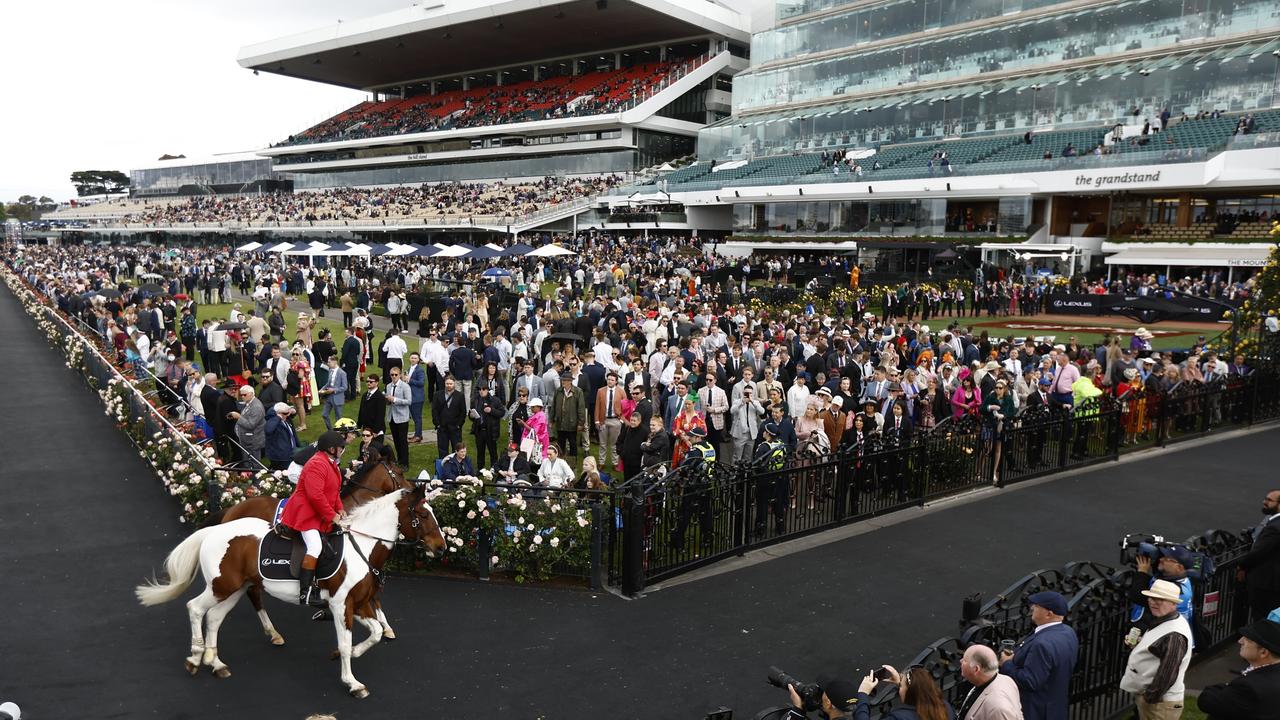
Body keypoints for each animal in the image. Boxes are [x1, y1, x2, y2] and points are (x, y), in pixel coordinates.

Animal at [135, 484, 445, 691]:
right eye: (423, 515)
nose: (441, 548)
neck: (363, 547)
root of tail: (215, 530)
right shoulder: (341, 605)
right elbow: (345, 644)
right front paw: (352, 681)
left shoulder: (359, 604)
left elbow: (377, 633)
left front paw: (354, 654)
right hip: (221, 586)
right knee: (196, 609)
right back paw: (196, 656)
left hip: (233, 589)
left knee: (214, 618)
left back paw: (217, 663)